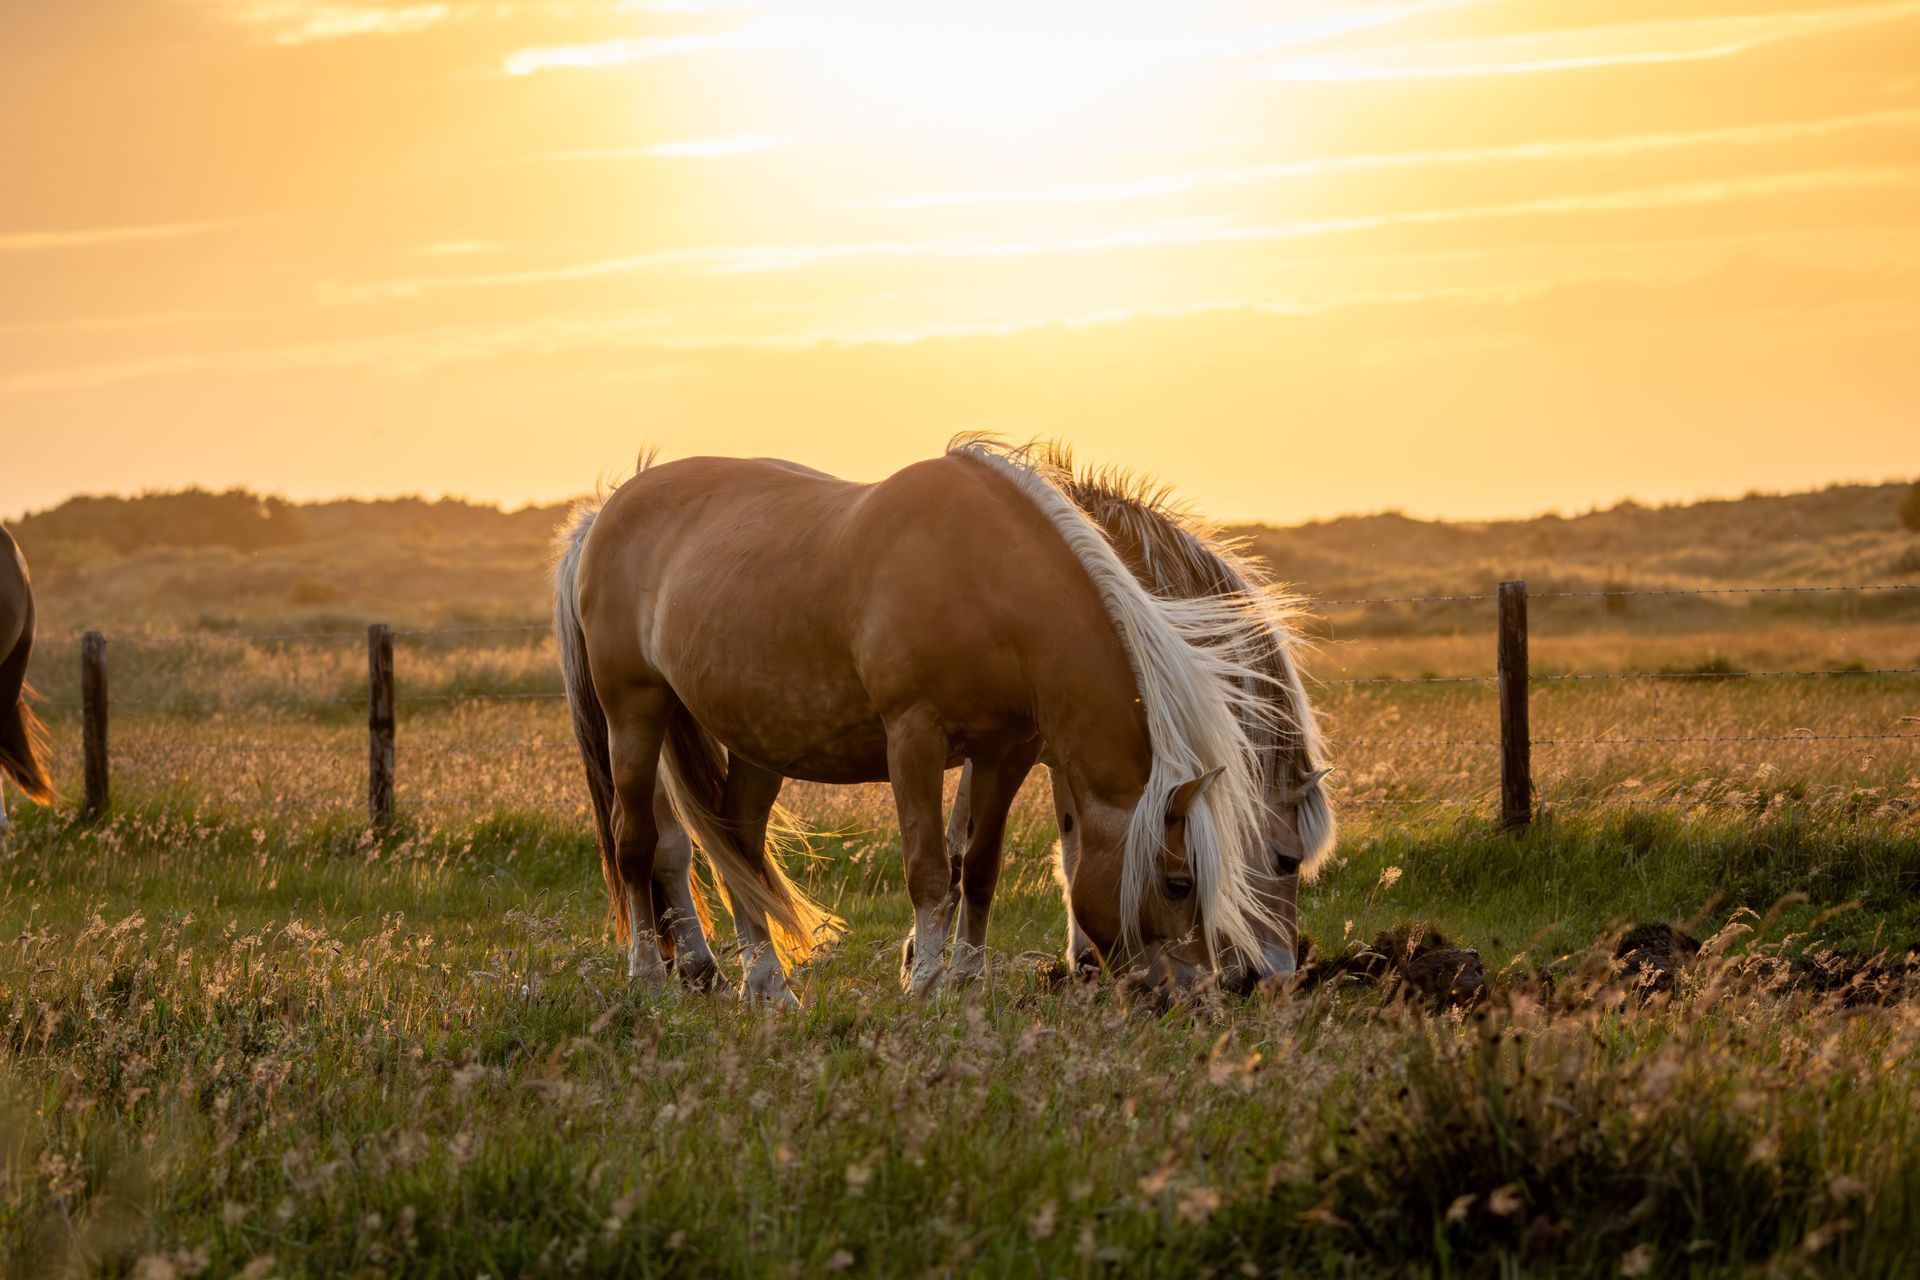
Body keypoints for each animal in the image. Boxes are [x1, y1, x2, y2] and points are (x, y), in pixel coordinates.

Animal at [553, 441, 1283, 1004]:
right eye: (1179, 882)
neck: (986, 581)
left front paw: (965, 981)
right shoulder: (914, 740)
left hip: (756, 742)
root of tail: (604, 514)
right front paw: (926, 985)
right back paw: (649, 978)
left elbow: (978, 869)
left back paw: (768, 987)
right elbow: (930, 870)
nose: (1201, 995)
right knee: (638, 843)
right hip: (635, 713)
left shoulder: (1007, 752)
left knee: (738, 846)